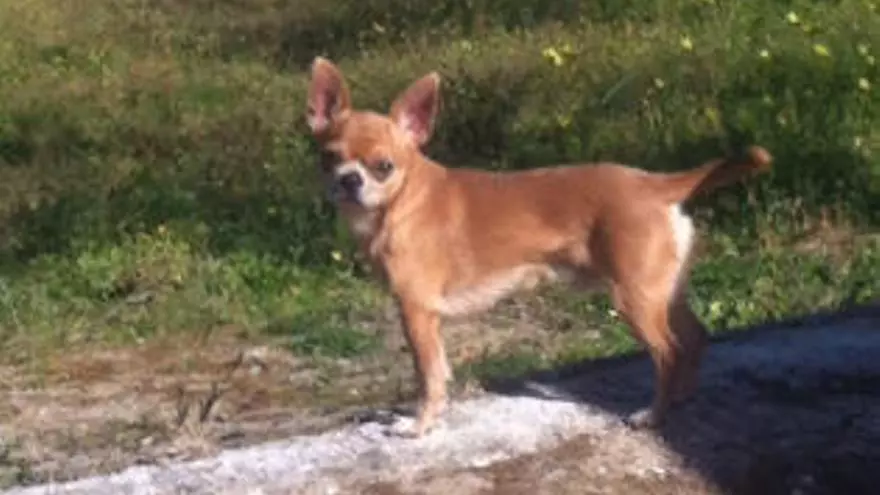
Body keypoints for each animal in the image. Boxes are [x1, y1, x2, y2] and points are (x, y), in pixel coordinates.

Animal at [304, 56, 772, 438]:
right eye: (329, 158)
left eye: (384, 167)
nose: (349, 180)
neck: (402, 201)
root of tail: (653, 183)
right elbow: (442, 372)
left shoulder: (416, 312)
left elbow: (428, 377)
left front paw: (419, 427)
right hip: (664, 292)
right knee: (694, 337)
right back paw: (681, 398)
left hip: (635, 301)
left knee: (669, 353)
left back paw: (654, 416)